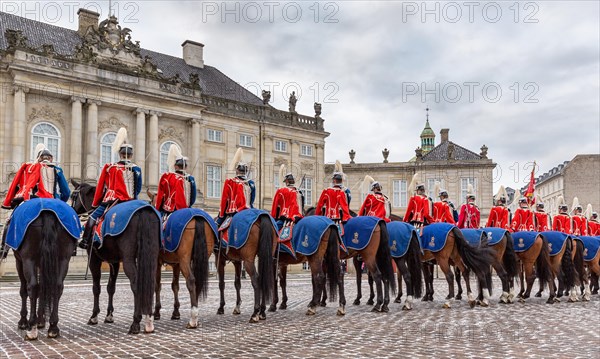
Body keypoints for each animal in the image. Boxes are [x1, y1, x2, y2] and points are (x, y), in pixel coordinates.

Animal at [7, 201, 78, 342]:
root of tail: (47, 211)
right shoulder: (43, 263)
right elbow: (43, 289)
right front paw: (41, 320)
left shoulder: (20, 261)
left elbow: (25, 290)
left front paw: (24, 321)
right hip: (63, 259)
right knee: (57, 286)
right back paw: (53, 327)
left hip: (28, 259)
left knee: (32, 286)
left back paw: (31, 328)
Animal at [69, 181, 162, 336]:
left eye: (73, 196)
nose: (72, 210)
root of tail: (144, 211)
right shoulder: (115, 262)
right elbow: (111, 287)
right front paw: (109, 315)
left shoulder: (94, 259)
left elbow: (96, 287)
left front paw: (94, 316)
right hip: (150, 257)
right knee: (150, 283)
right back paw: (149, 321)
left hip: (129, 260)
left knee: (136, 284)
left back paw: (136, 322)